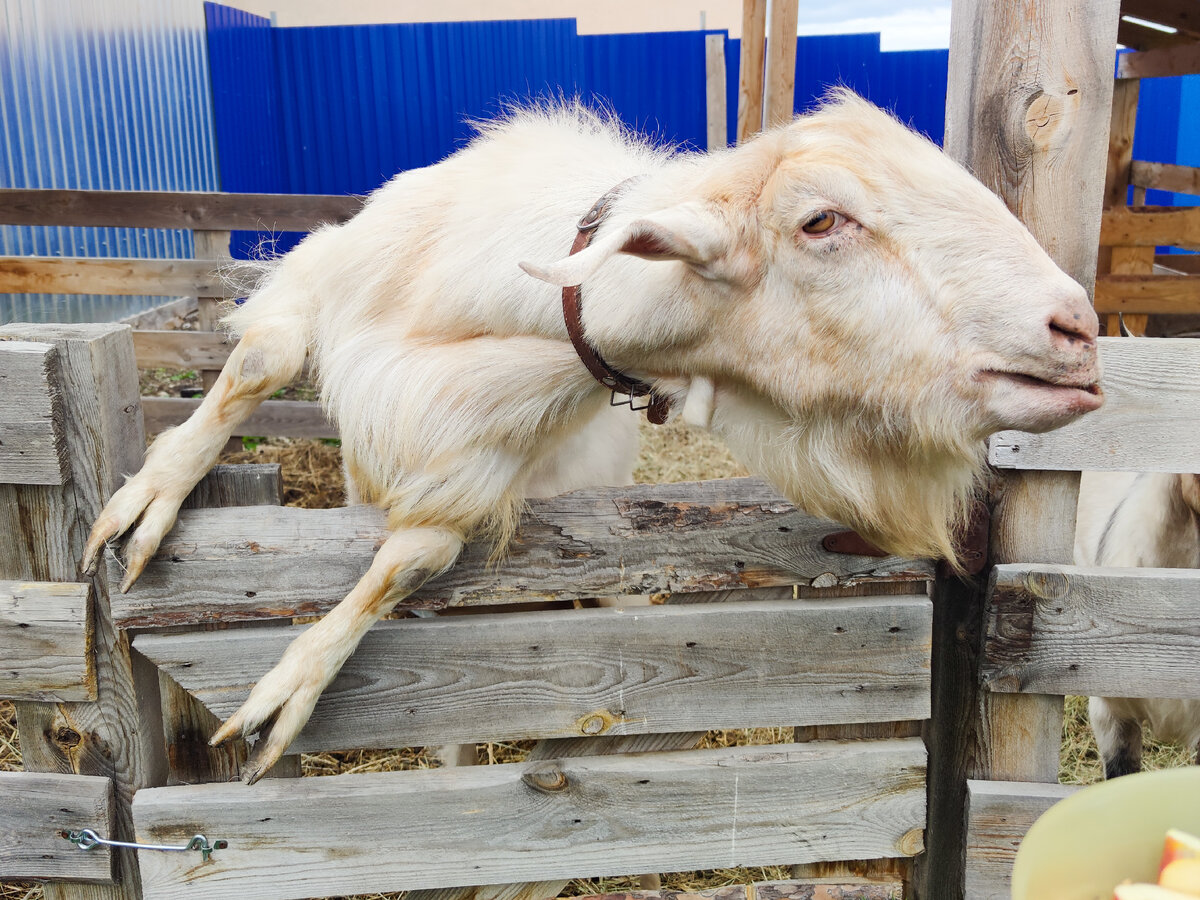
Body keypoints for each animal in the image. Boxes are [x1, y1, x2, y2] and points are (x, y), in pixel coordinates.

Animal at [79, 93, 1099, 782]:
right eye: (822, 220)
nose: (1079, 331)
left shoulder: (477, 462)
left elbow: (409, 561)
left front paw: (287, 688)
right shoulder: (326, 275)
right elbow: (263, 358)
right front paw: (142, 506)